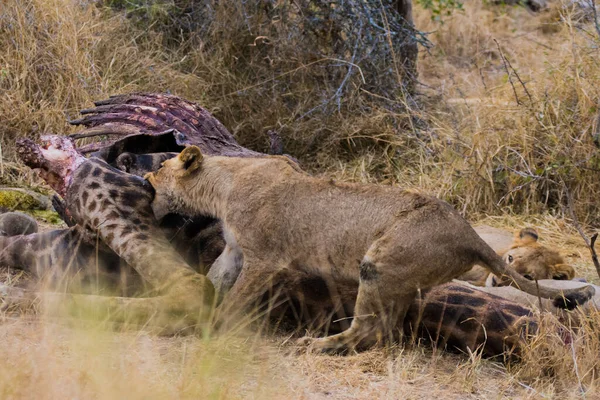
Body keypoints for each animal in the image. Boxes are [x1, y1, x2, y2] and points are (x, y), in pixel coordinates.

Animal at [145, 145, 596, 352]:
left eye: (160, 167)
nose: (145, 175)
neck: (221, 187)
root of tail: (468, 233)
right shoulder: (236, 251)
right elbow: (215, 279)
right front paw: (196, 310)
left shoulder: (265, 259)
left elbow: (237, 297)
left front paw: (216, 329)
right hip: (397, 279)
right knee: (386, 332)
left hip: (378, 261)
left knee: (368, 328)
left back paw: (318, 345)